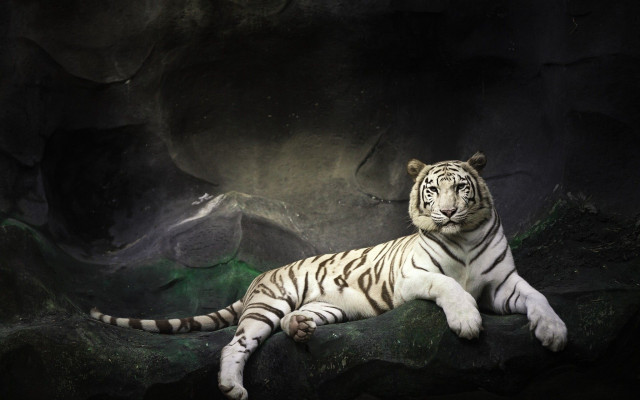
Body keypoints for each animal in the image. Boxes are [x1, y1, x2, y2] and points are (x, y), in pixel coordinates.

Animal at [91, 152, 567, 400]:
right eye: (433, 190)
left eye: (462, 188)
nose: (448, 212)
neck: (464, 238)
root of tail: (257, 279)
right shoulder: (411, 277)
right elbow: (448, 284)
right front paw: (467, 322)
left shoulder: (503, 284)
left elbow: (539, 297)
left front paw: (555, 332)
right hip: (269, 305)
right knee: (235, 344)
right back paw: (232, 386)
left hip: (325, 306)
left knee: (291, 323)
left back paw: (301, 328)